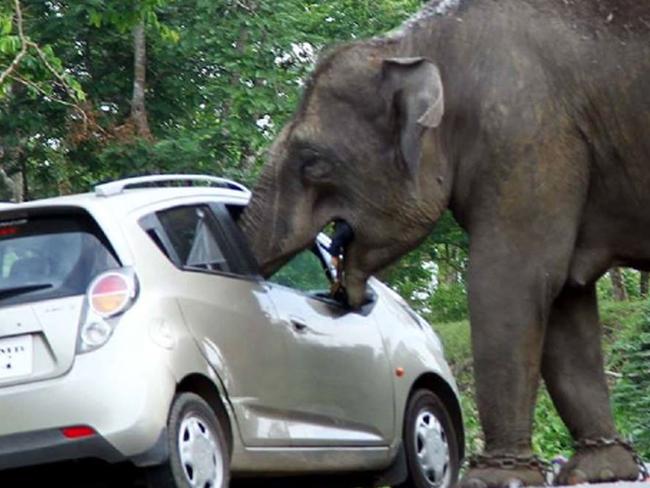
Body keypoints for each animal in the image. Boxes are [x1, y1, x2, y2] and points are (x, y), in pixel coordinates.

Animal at [238, 1, 648, 486]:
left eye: (312, 162)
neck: (412, 46)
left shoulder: (527, 134)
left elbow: (511, 282)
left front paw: (495, 479)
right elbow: (565, 295)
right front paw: (602, 471)